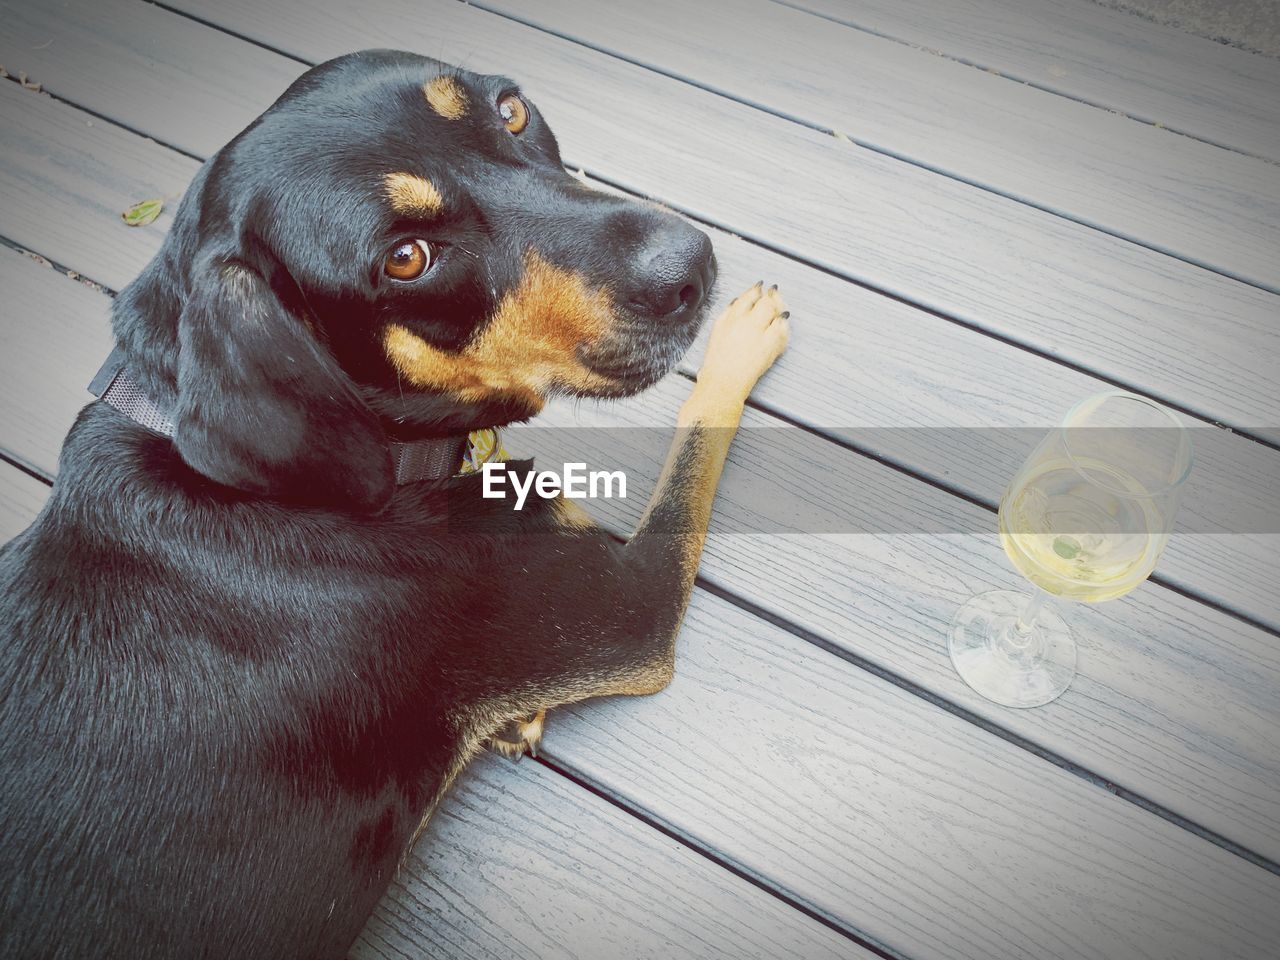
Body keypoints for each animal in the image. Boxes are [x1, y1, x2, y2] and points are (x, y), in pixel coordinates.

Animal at [0, 52, 788, 960]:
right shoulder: (634, 604)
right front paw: (742, 339)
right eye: (407, 258)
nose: (691, 263)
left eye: (511, 112)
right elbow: (697, 442)